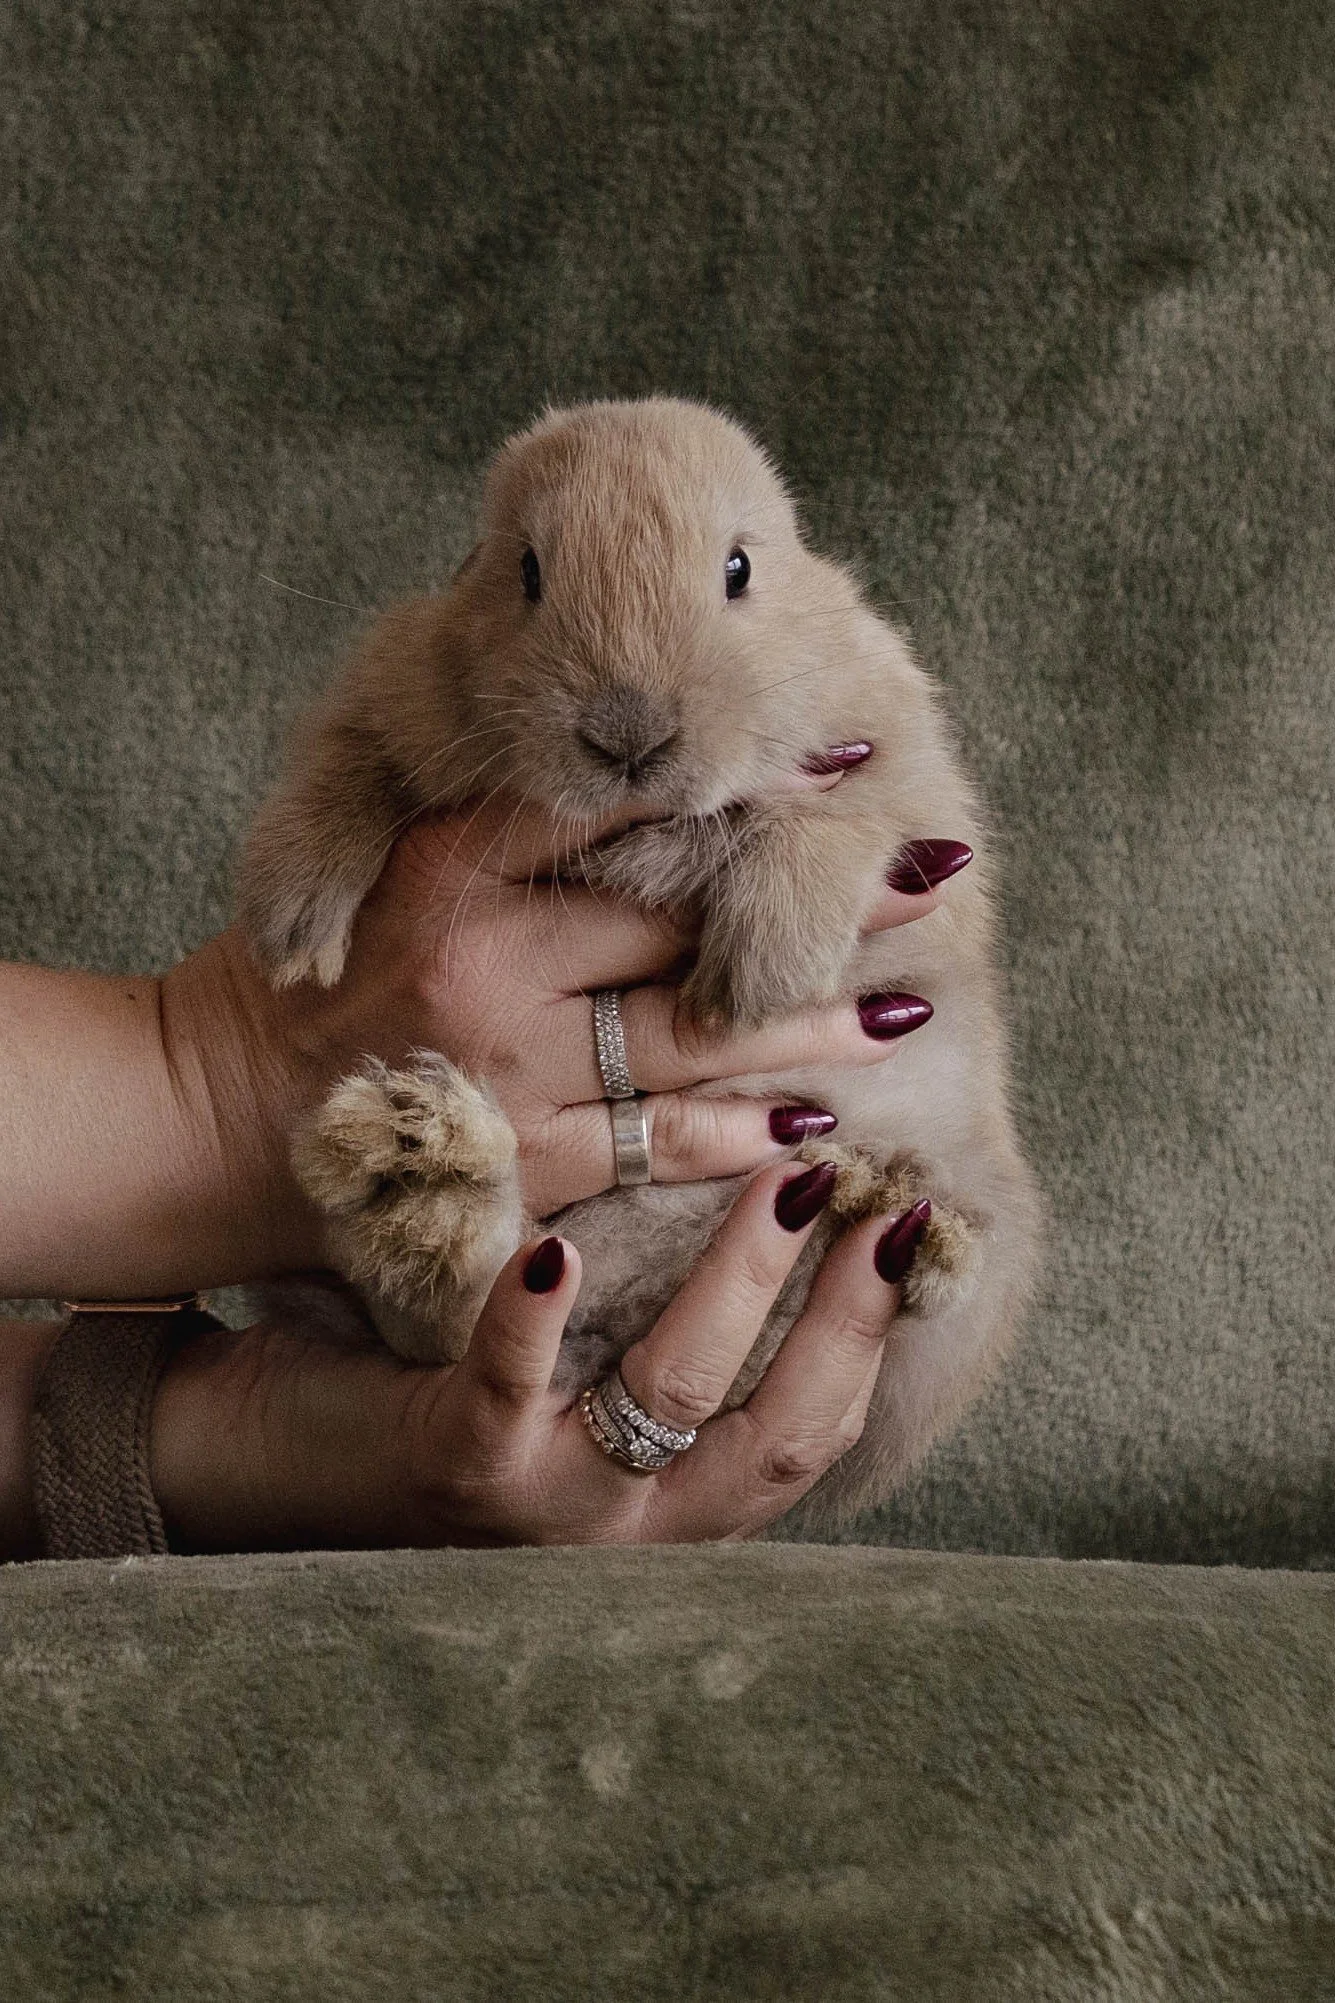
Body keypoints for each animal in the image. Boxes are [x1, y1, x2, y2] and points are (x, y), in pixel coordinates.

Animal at [239, 396, 1041, 1530]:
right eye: (525, 571)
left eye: (738, 569)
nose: (630, 736)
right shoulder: (388, 692)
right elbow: (345, 766)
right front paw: (292, 920)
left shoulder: (910, 795)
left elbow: (839, 818)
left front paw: (762, 969)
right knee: (474, 1313)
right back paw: (419, 1173)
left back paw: (889, 1205)